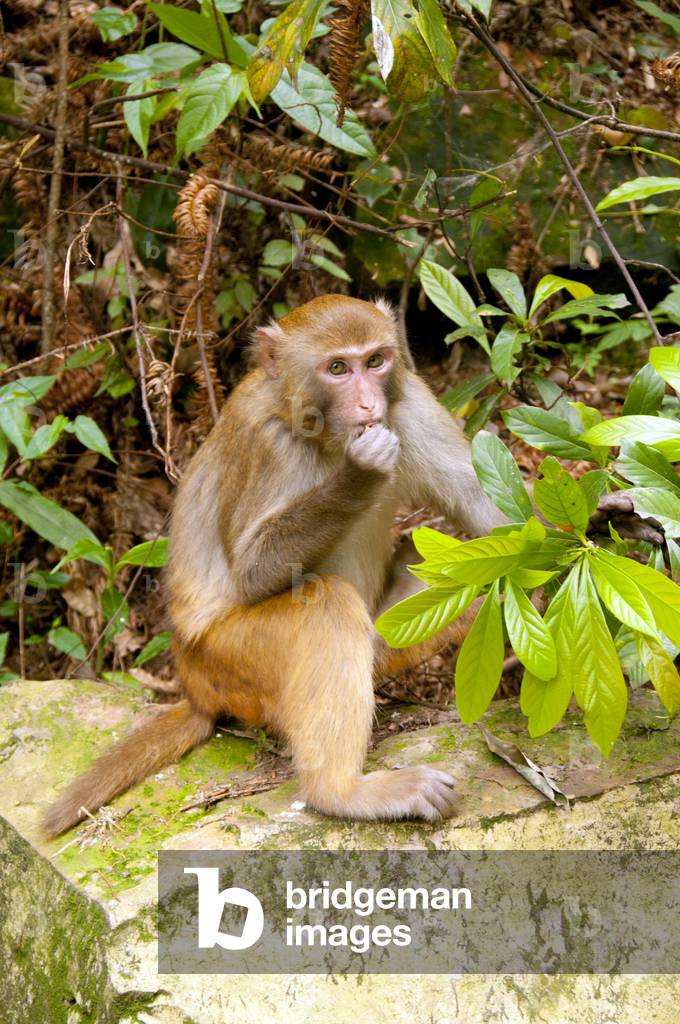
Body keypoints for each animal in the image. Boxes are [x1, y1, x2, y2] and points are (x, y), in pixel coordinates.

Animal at [43, 295, 506, 837]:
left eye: (375, 361)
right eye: (337, 368)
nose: (369, 406)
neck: (317, 429)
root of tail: (192, 681)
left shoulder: (408, 400)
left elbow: (486, 509)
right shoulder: (265, 442)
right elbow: (251, 571)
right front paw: (360, 473)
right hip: (229, 660)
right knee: (325, 604)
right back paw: (343, 793)